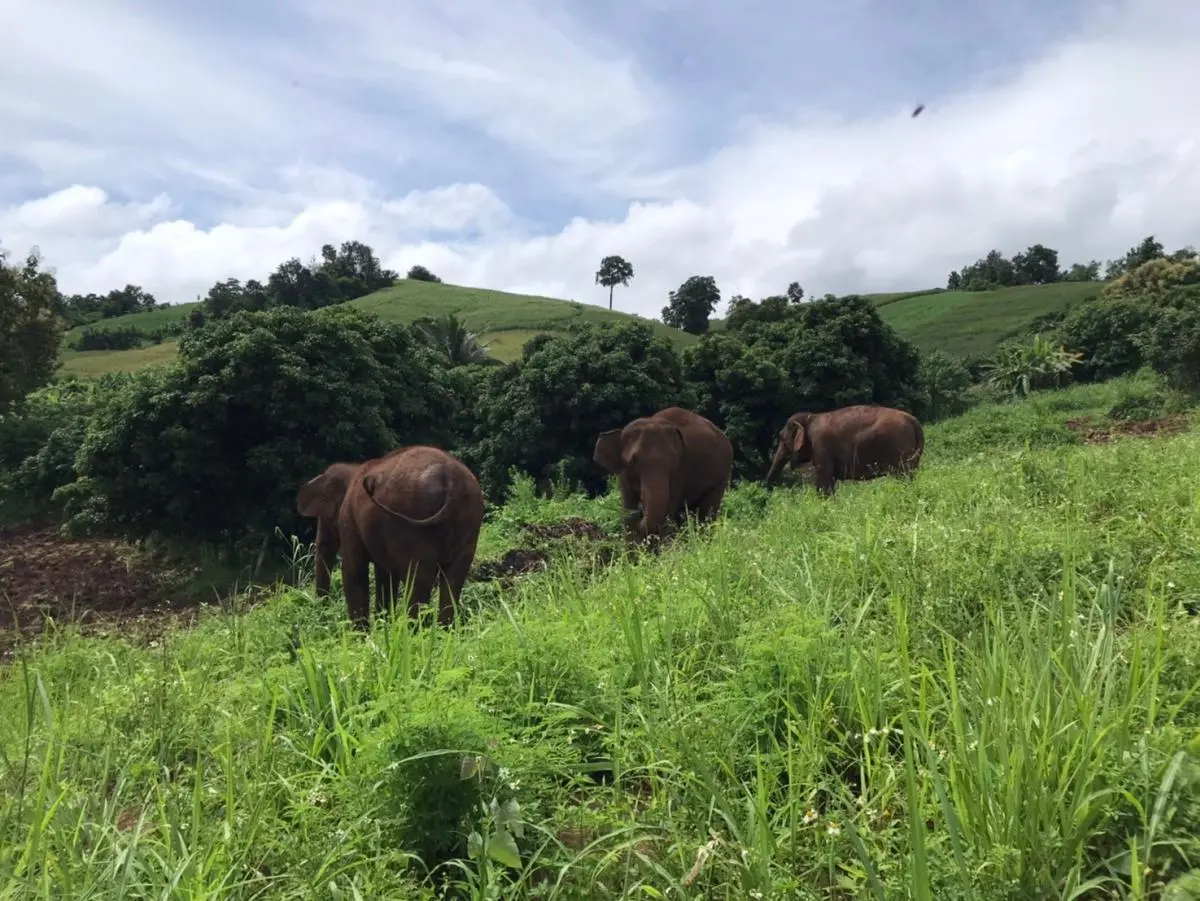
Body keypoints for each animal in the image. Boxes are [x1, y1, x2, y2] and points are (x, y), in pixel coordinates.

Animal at [296, 445, 485, 629]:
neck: (352, 469)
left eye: (324, 516)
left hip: (413, 520)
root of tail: (452, 480)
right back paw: (444, 632)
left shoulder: (350, 519)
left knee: (417, 579)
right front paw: (383, 626)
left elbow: (354, 570)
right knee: (453, 578)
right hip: (470, 517)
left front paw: (361, 635)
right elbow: (385, 575)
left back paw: (414, 632)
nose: (323, 612)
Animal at [593, 406, 734, 540]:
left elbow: (667, 510)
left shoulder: (680, 471)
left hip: (722, 474)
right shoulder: (624, 473)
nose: (640, 511)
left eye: (673, 461)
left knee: (706, 512)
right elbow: (628, 505)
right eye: (633, 460)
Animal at [764, 404, 924, 495]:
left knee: (903, 476)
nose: (766, 489)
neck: (811, 417)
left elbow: (824, 481)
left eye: (782, 438)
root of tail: (914, 421)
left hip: (900, 446)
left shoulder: (821, 446)